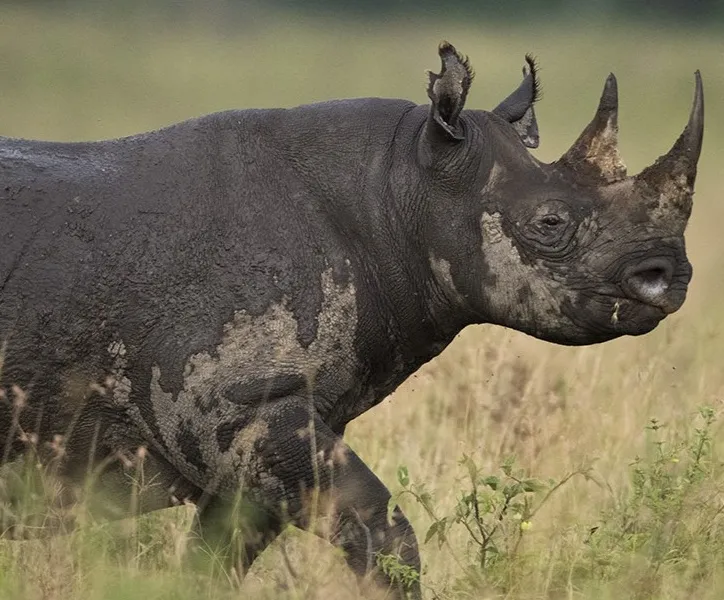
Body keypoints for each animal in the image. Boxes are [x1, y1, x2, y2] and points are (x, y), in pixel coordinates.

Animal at [0, 42, 704, 598]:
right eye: (550, 224)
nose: (668, 276)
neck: (396, 186)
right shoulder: (238, 404)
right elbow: (382, 532)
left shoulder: (253, 438)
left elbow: (215, 561)